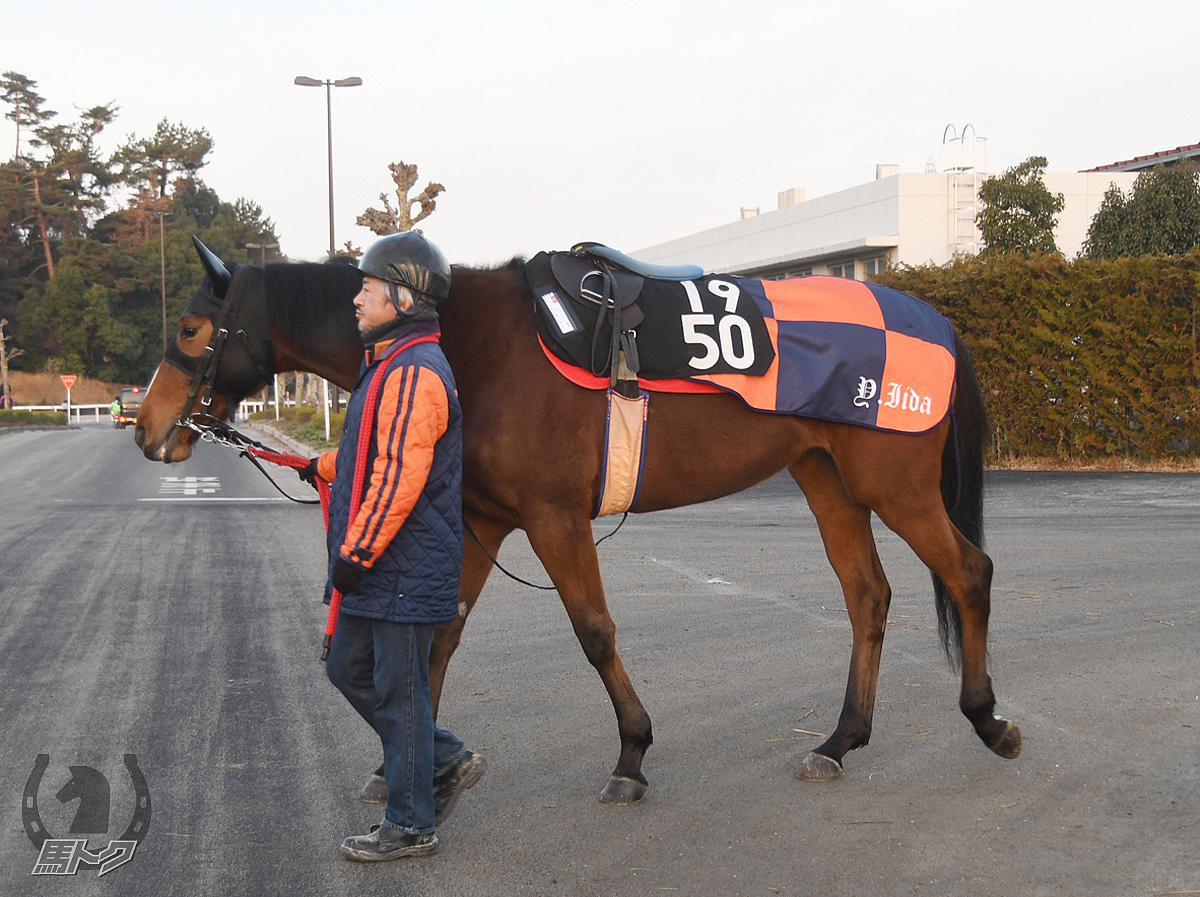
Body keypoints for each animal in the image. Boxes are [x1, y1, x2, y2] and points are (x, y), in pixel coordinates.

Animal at [138, 239, 1022, 805]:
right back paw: (839, 741)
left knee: (969, 571)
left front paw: (632, 753)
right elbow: (441, 636)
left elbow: (594, 630)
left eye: (190, 329)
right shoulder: (485, 518)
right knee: (868, 595)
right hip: (826, 475)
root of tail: (935, 322)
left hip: (894, 481)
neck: (471, 341)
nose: (146, 428)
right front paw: (409, 767)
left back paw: (988, 718)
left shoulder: (551, 515)